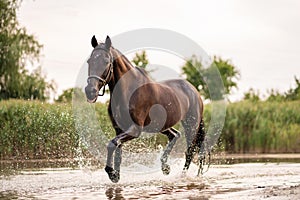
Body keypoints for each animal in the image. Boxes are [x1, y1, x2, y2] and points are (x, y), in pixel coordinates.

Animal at [84, 35, 206, 182]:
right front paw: (116, 175)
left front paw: (111, 172)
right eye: (89, 61)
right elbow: (117, 152)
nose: (90, 91)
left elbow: (111, 144)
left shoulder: (135, 129)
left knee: (189, 151)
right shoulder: (119, 129)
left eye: (106, 61)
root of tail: (195, 92)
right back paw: (165, 167)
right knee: (175, 135)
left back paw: (182, 176)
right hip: (161, 125)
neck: (127, 91)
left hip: (191, 125)